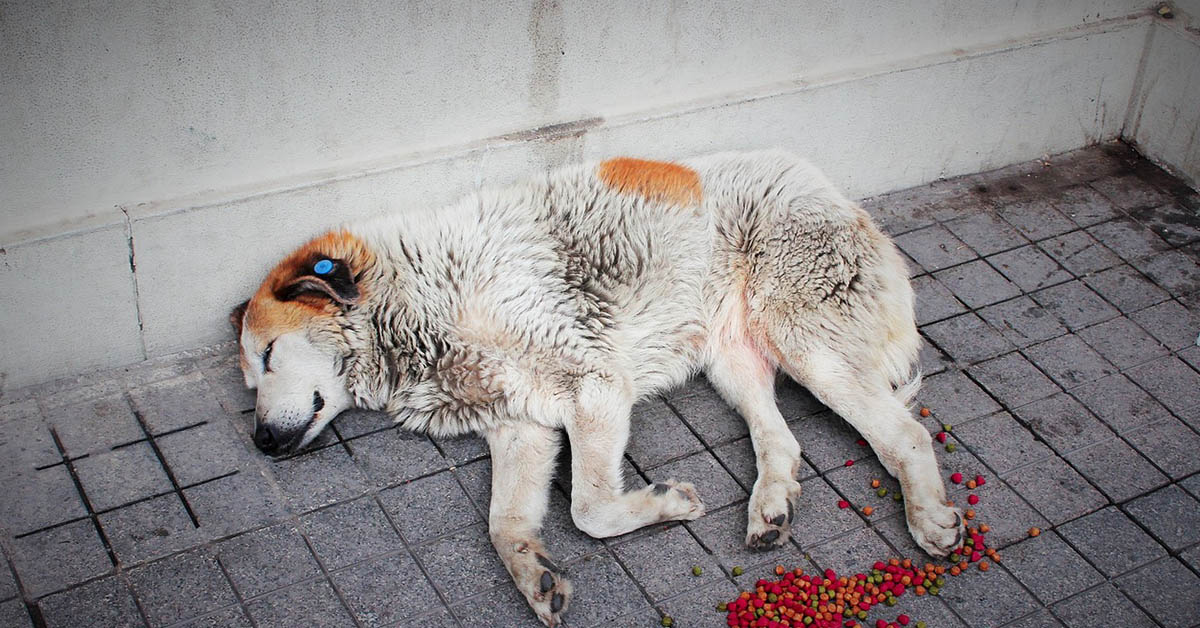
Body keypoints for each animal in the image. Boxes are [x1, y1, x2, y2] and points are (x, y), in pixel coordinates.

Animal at [231, 150, 964, 624]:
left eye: (268, 354)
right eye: (248, 377)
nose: (261, 441)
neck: (419, 302)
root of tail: (834, 191)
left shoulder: (594, 384)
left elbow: (588, 508)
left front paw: (665, 503)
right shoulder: (520, 427)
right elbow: (503, 525)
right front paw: (535, 576)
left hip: (806, 344)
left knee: (904, 433)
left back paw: (929, 519)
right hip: (732, 360)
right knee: (781, 440)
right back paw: (771, 509)